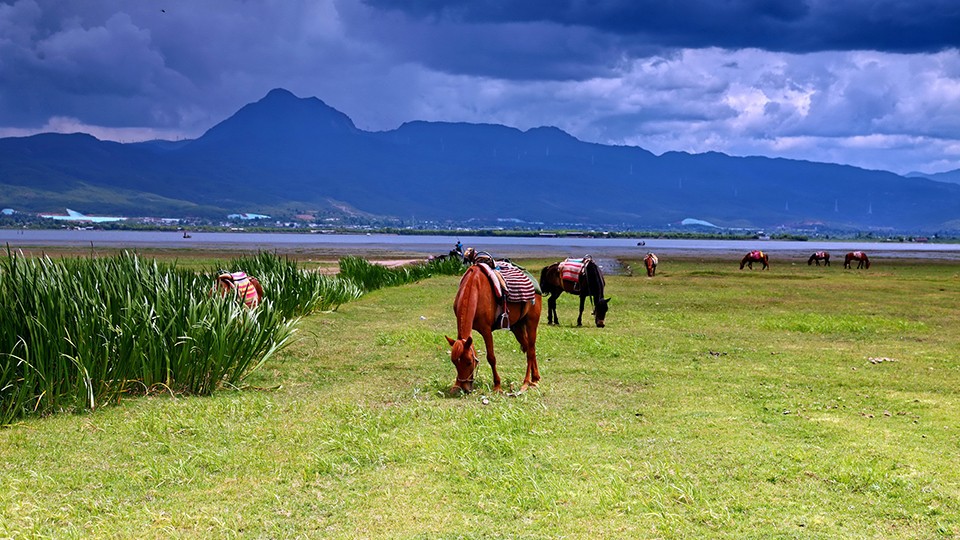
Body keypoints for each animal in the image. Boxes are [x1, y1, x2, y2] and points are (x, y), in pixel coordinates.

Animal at [444, 264, 540, 394]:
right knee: (529, 348)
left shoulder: (486, 330)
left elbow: (491, 357)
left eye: (469, 362)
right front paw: (456, 385)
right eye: (454, 362)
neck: (475, 287)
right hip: (517, 327)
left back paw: (526, 382)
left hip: (531, 323)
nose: (465, 388)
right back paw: (535, 378)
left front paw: (497, 386)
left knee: (530, 350)